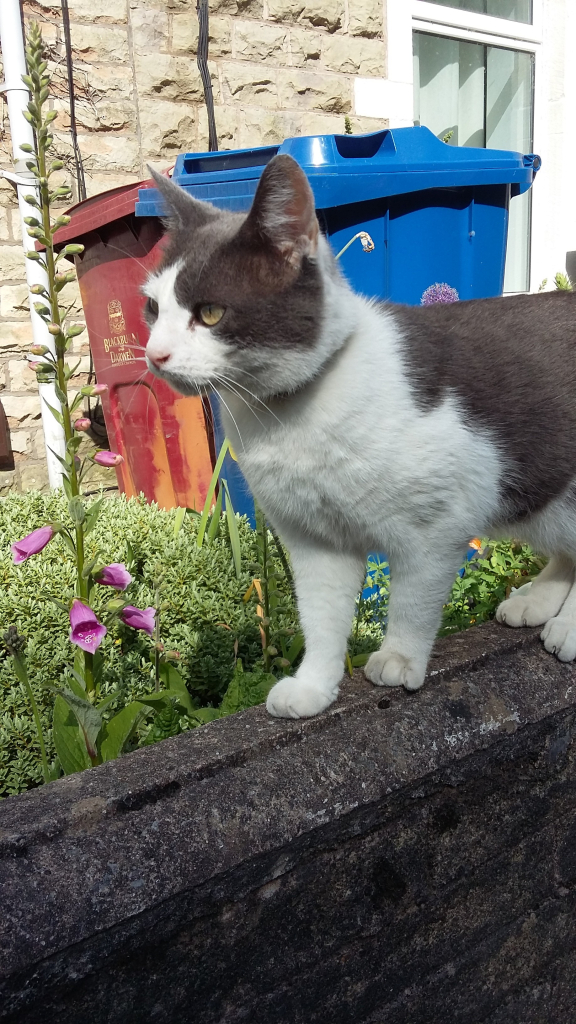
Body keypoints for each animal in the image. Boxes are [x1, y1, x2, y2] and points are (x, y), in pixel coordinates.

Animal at [144, 155, 576, 720]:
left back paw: (568, 628)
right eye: (153, 310)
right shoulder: (313, 539)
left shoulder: (436, 527)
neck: (289, 418)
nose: (154, 355)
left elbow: (412, 601)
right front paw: (313, 687)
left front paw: (398, 658)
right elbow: (321, 617)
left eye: (210, 313)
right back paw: (536, 602)